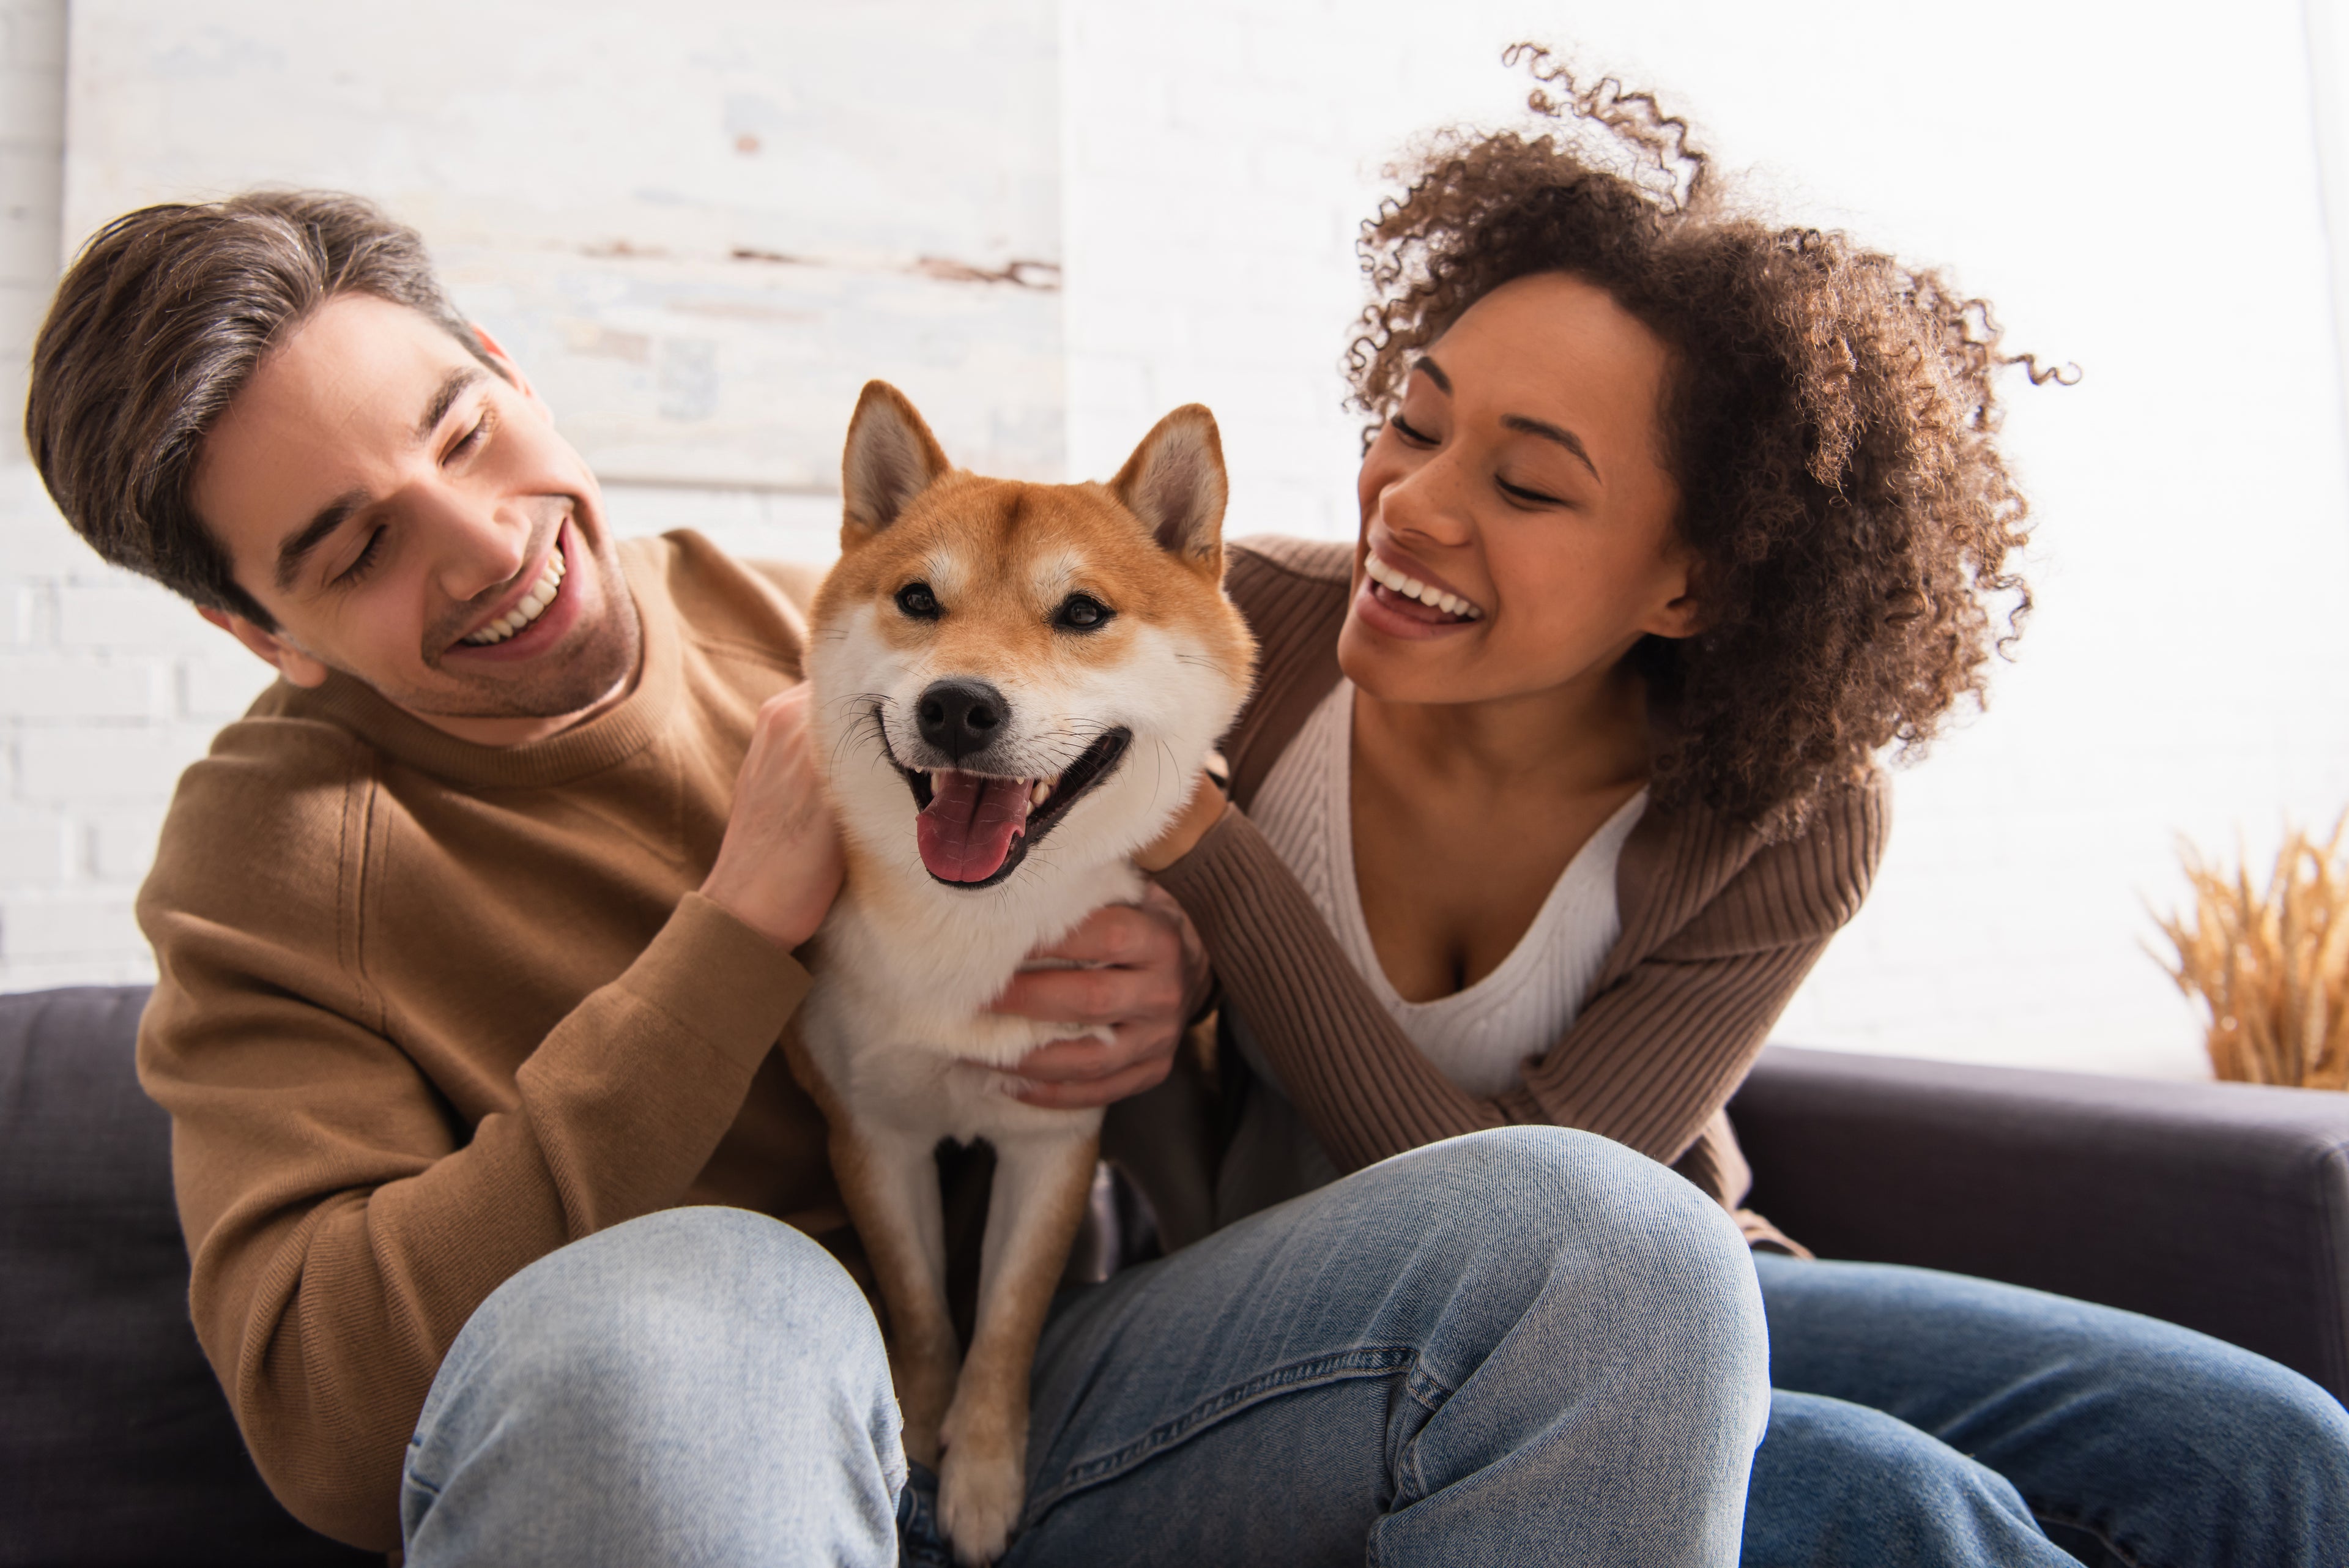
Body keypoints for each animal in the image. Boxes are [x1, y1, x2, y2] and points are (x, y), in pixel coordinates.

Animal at [789, 376, 1259, 1561]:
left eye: (1082, 613)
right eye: (918, 599)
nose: (959, 705)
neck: (975, 926)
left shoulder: (1053, 1139)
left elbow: (1006, 1320)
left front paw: (986, 1475)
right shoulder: (875, 1133)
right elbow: (920, 1308)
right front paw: (919, 1434)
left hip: (1167, 1134)